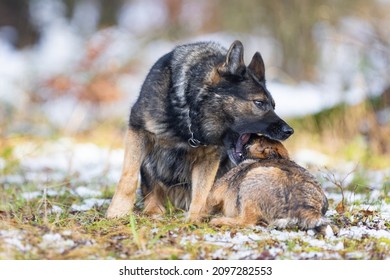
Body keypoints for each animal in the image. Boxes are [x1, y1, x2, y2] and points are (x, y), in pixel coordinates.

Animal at [105, 40, 294, 223]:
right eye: (259, 103)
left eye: (274, 106)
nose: (289, 131)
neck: (188, 114)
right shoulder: (138, 131)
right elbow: (128, 177)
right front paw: (118, 211)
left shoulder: (209, 157)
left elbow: (201, 192)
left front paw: (194, 219)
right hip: (149, 162)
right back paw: (154, 209)